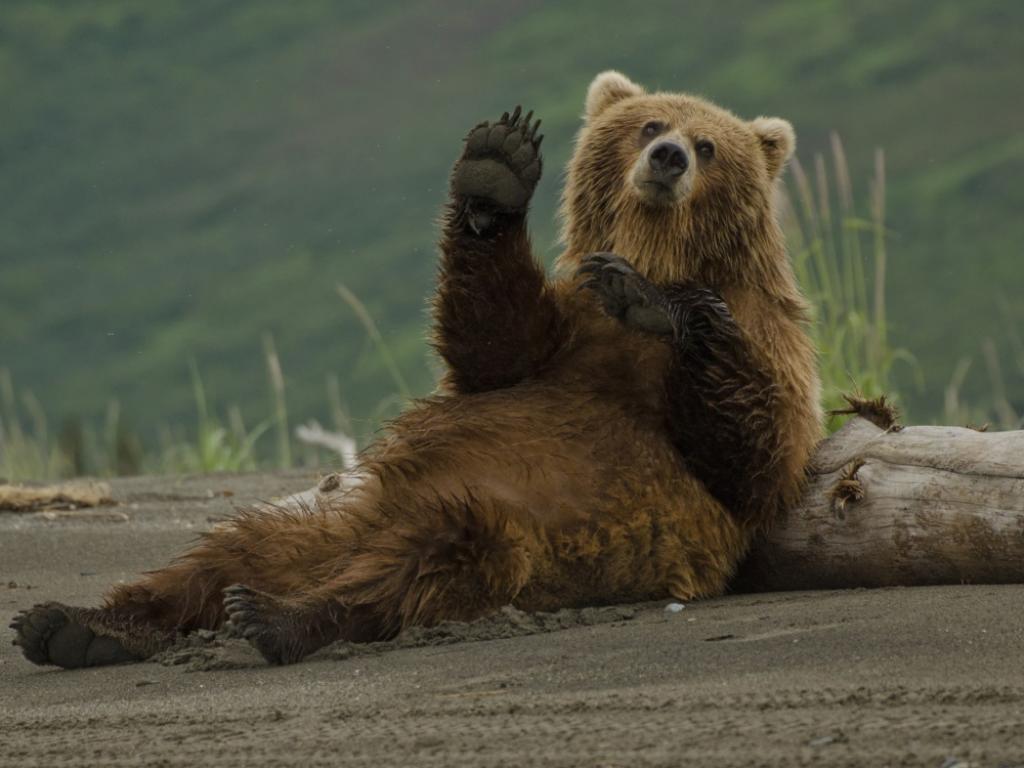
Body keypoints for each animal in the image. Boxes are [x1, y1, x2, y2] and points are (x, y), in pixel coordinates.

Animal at [9, 75, 823, 671]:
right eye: (651, 125)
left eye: (708, 143)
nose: (669, 159)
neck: (658, 249)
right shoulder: (561, 338)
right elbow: (492, 340)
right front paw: (496, 171)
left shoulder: (766, 344)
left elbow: (754, 455)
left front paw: (659, 303)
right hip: (319, 522)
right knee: (218, 553)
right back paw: (75, 624)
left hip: (511, 533)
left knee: (422, 562)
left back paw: (275, 616)